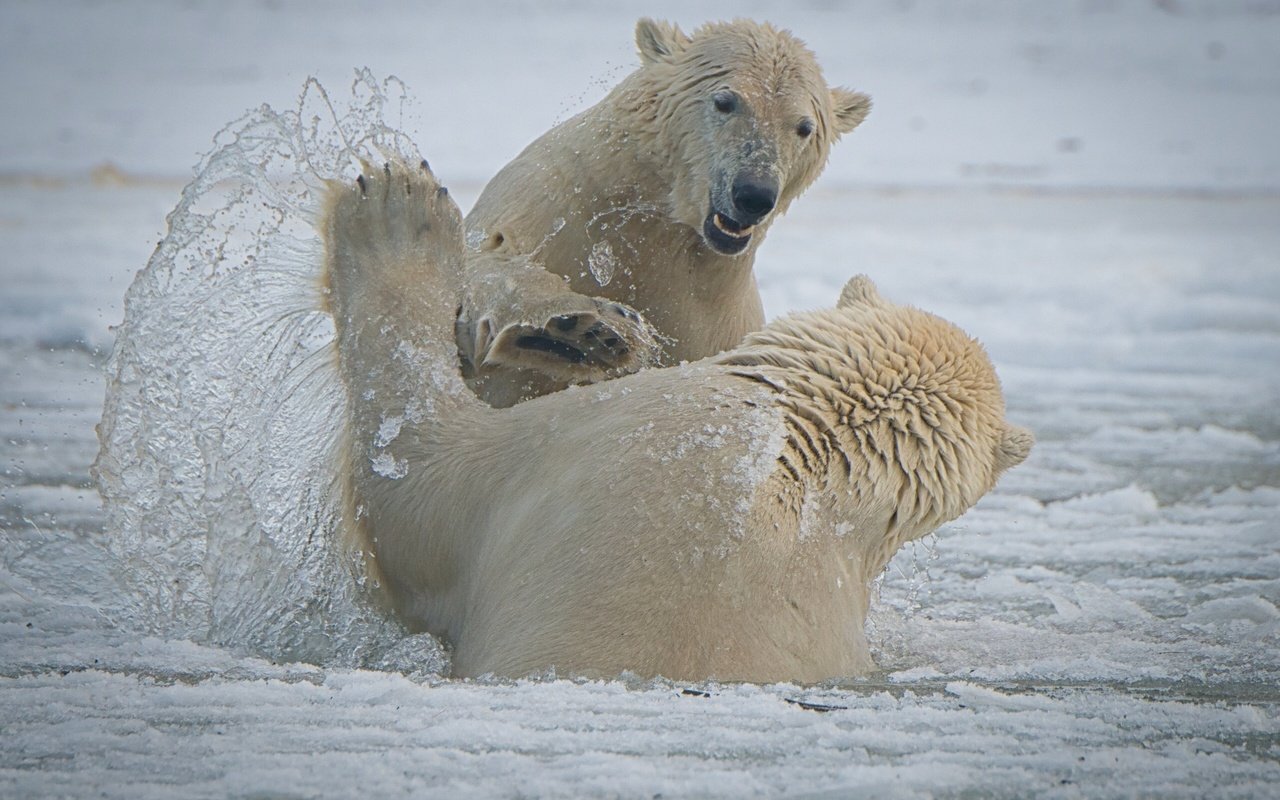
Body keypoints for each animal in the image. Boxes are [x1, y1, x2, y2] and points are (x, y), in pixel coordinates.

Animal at [458, 18, 870, 404]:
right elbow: (485, 258)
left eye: (804, 127)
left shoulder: (715, 320)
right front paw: (585, 332)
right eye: (725, 101)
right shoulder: (555, 195)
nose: (754, 194)